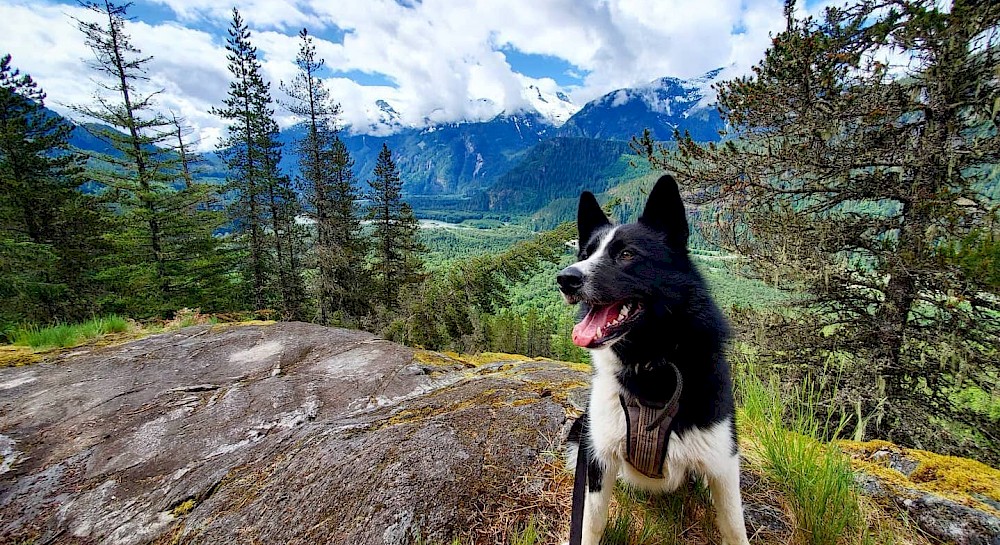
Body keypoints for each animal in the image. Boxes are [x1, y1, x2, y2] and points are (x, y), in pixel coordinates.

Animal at [560, 174, 748, 544]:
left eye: (626, 254)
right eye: (586, 254)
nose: (565, 279)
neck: (649, 366)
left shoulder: (723, 463)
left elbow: (735, 527)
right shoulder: (598, 458)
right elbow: (590, 522)